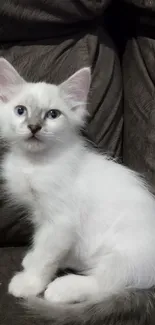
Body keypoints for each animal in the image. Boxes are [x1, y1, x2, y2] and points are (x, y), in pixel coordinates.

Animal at [0, 58, 155, 324]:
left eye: (52, 114)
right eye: (20, 110)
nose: (34, 127)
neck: (35, 164)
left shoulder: (61, 221)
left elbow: (46, 256)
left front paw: (30, 282)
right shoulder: (41, 215)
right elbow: (41, 244)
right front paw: (31, 260)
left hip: (124, 256)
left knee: (107, 283)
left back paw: (63, 288)